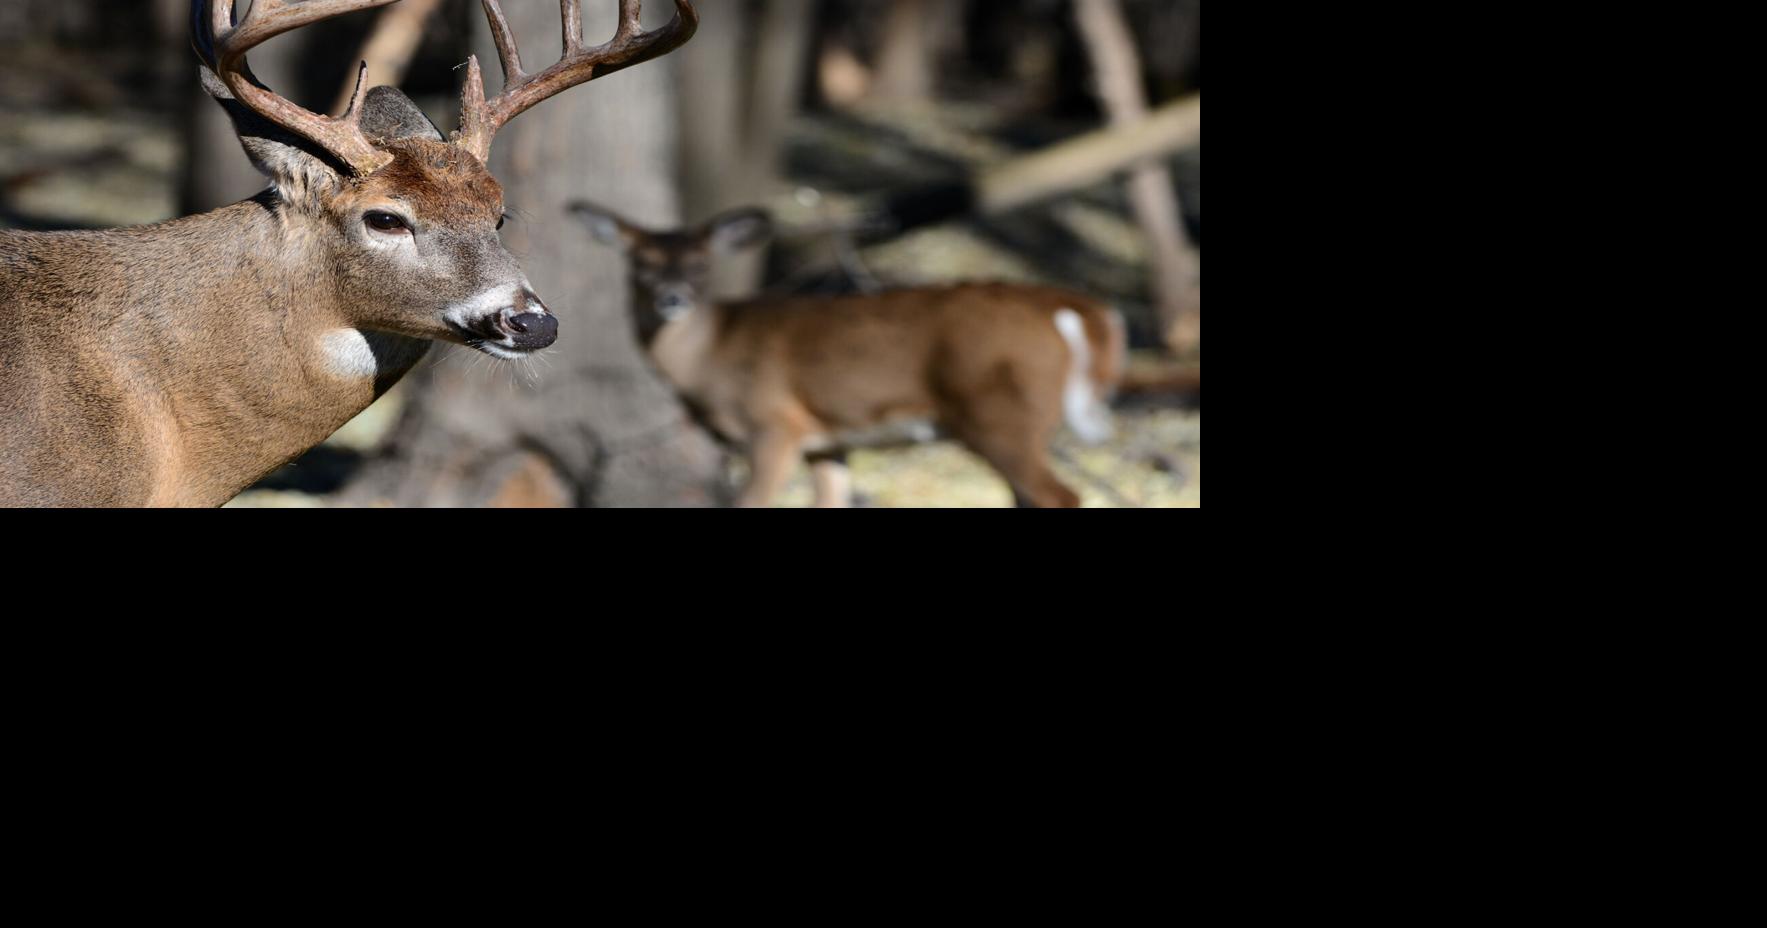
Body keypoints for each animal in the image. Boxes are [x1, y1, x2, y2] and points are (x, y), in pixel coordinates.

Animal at [569, 204, 1127, 508]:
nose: (672, 299)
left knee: (1061, 495)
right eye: (640, 262)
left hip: (999, 413)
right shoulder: (826, 440)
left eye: (701, 264)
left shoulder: (774, 423)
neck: (714, 358)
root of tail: (1074, 307)